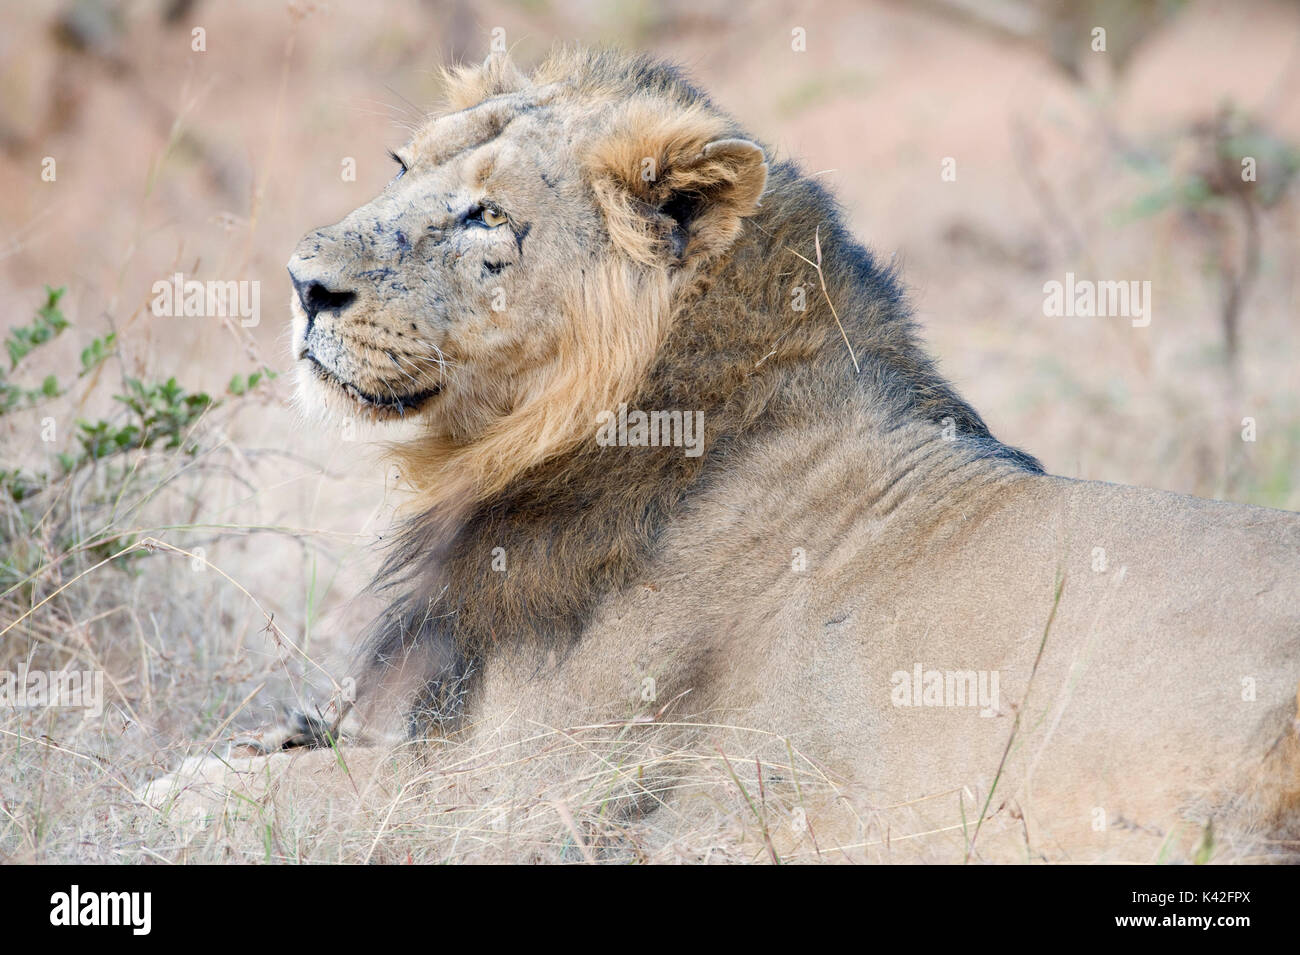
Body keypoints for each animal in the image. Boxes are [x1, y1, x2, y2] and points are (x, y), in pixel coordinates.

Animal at [145, 47, 1300, 863]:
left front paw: (182, 790)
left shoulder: (524, 795)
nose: (303, 283)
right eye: (399, 168)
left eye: (487, 215)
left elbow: (268, 797)